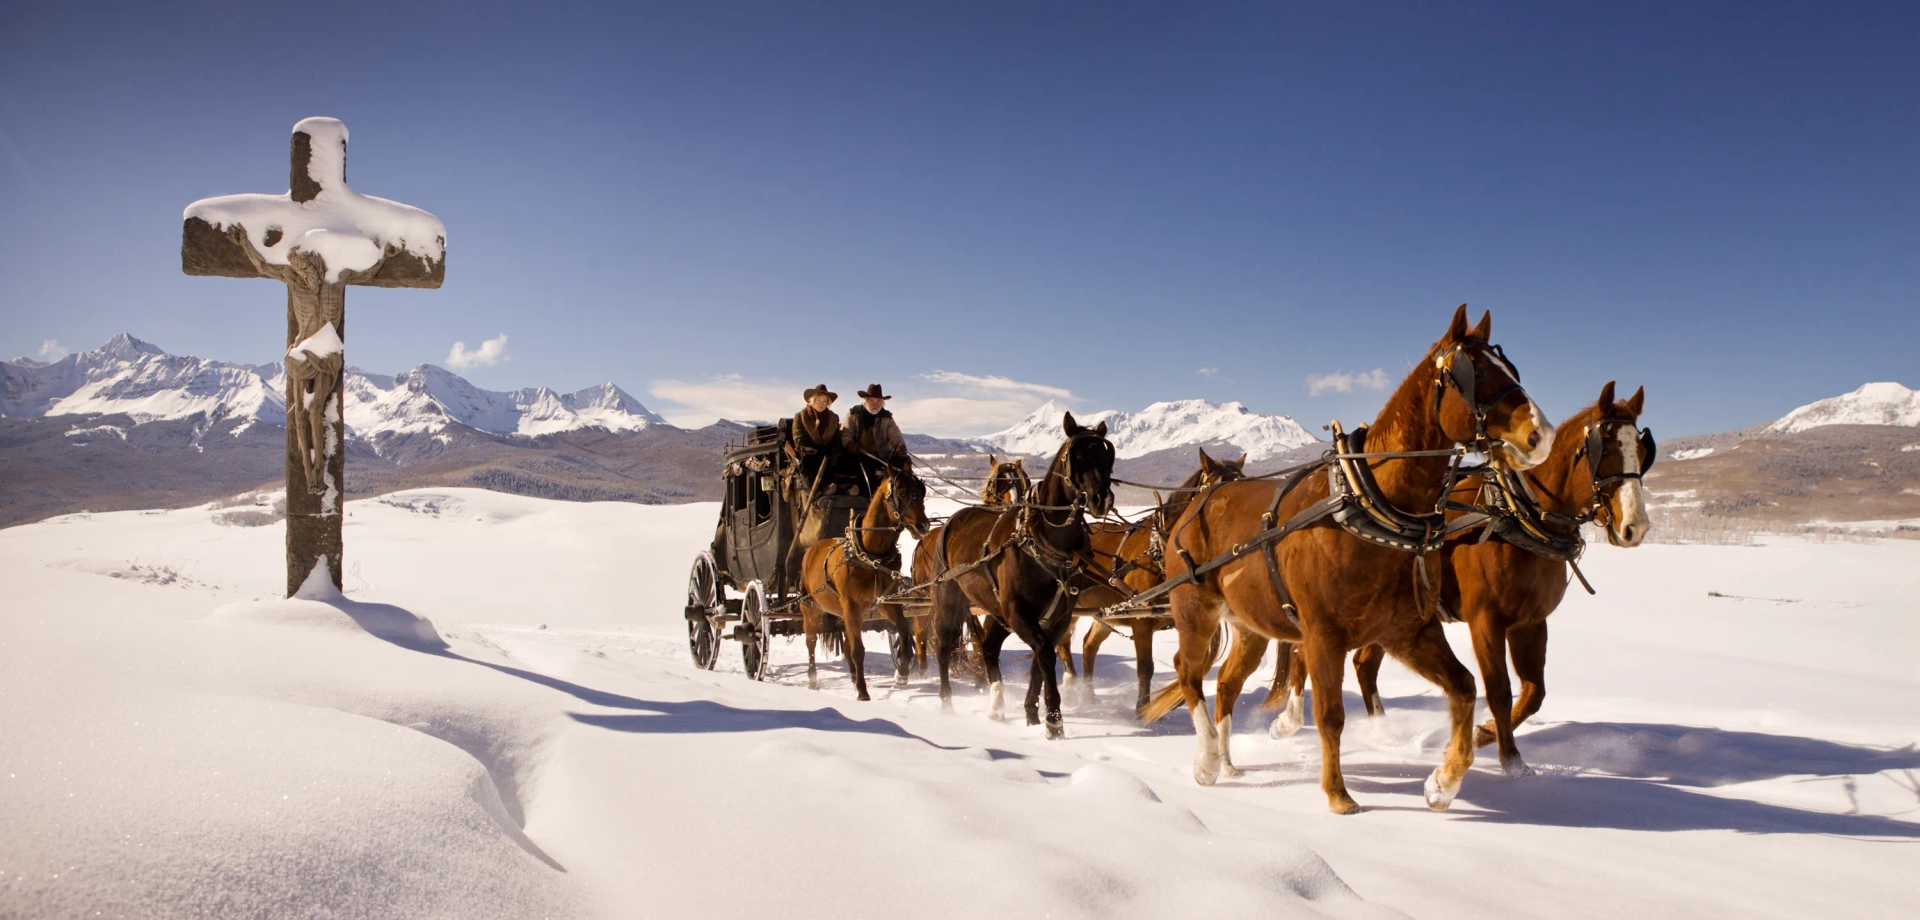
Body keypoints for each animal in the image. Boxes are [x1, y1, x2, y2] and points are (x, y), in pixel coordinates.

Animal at [798, 457, 933, 702]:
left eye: (921, 491)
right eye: (901, 492)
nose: (923, 526)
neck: (870, 555)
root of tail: (811, 549)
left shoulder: (884, 603)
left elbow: (904, 632)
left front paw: (902, 671)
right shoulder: (850, 605)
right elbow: (859, 649)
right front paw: (862, 691)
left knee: (847, 642)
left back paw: (852, 676)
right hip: (810, 608)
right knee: (811, 641)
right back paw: (813, 679)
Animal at [921, 414, 1121, 737]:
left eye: (1107, 455)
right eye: (1077, 456)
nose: (1101, 499)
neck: (1046, 540)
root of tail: (952, 520)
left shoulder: (1058, 616)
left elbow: (1040, 658)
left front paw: (1031, 713)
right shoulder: (1018, 611)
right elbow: (1045, 654)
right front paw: (1053, 719)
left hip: (996, 613)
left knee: (989, 648)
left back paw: (996, 704)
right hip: (949, 602)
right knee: (944, 646)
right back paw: (947, 702)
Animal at [1067, 449, 1244, 710]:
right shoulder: (1141, 619)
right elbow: (1145, 668)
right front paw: (1142, 709)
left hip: (1105, 612)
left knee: (1089, 645)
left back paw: (1089, 697)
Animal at [1128, 307, 1551, 814]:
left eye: (1512, 371)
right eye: (1477, 373)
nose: (1542, 435)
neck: (1370, 504)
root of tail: (1198, 503)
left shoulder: (1408, 631)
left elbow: (1466, 687)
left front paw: (1443, 783)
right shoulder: (1322, 634)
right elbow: (1329, 714)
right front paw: (1338, 794)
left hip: (1251, 626)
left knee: (1227, 682)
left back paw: (1228, 762)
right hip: (1194, 612)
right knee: (1188, 673)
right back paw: (1208, 761)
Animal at [1267, 378, 1658, 775]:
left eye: (1643, 451)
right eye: (1604, 449)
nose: (1635, 527)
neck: (1516, 515)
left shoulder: (1530, 622)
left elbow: (1534, 692)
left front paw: (1483, 735)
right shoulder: (1485, 619)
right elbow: (1499, 691)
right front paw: (1511, 761)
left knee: (1361, 664)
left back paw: (1382, 733)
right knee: (1304, 652)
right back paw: (1289, 721)